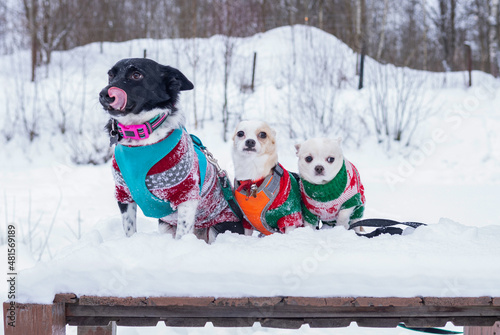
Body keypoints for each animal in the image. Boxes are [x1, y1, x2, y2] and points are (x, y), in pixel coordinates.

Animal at [98, 57, 243, 242]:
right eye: (111, 75)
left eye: (136, 75)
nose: (104, 94)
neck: (141, 138)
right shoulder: (123, 192)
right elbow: (129, 228)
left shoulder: (186, 193)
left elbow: (182, 233)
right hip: (165, 226)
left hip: (219, 227)